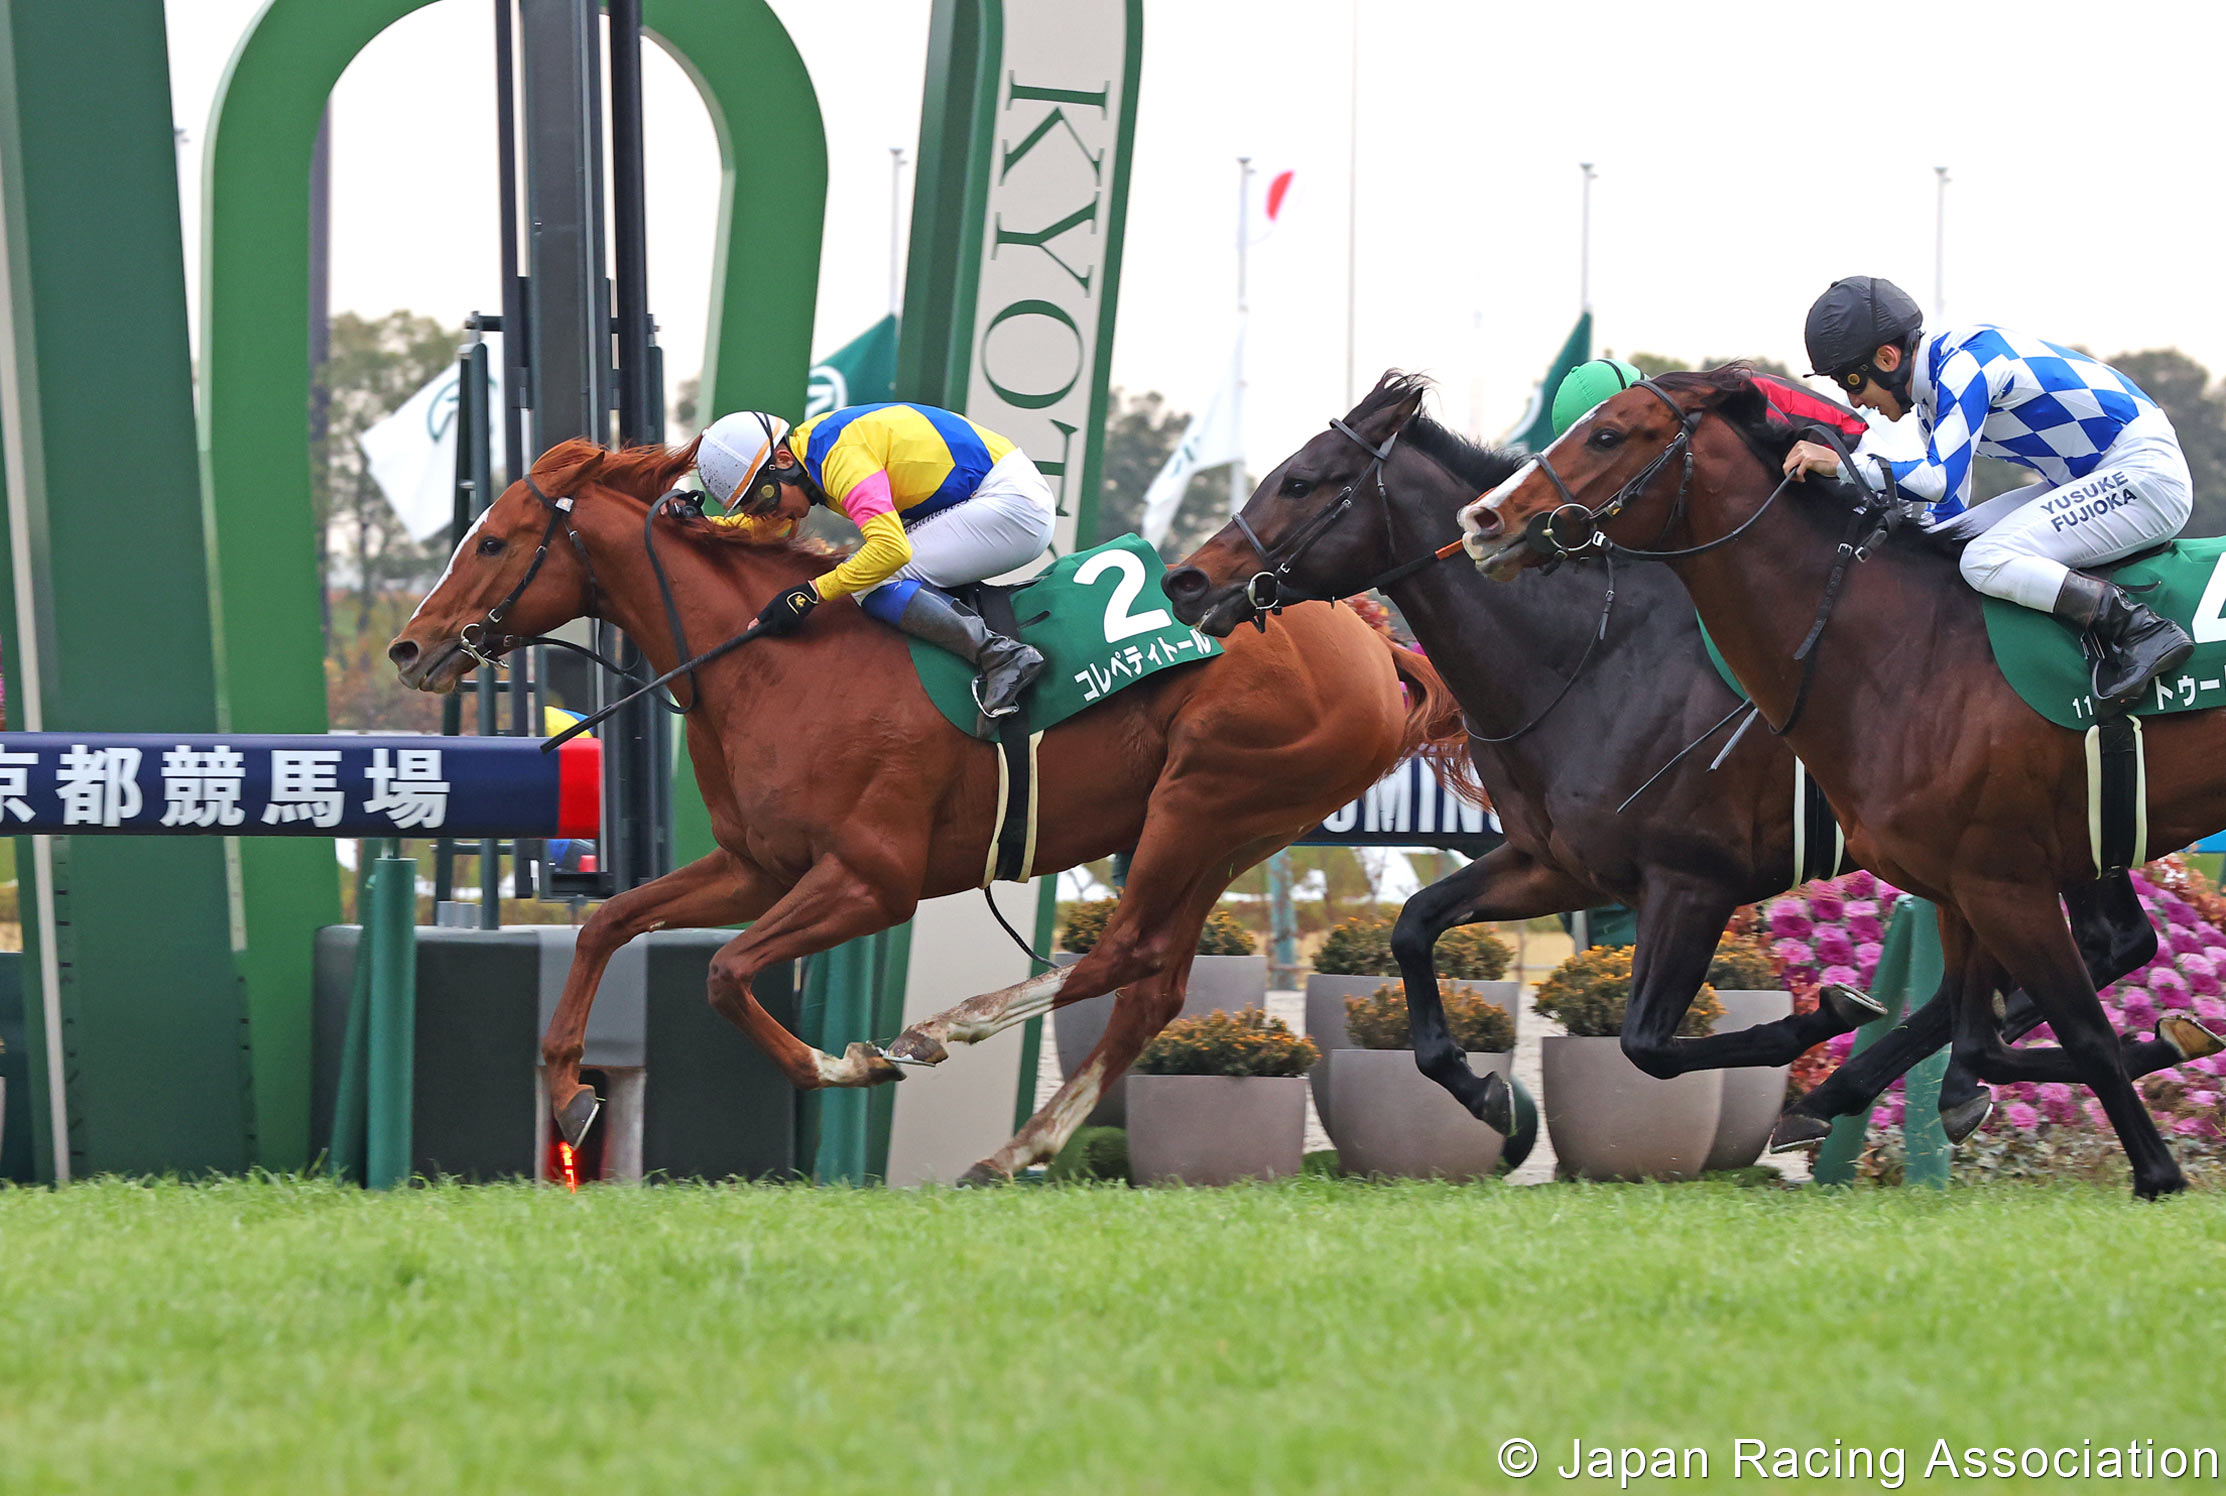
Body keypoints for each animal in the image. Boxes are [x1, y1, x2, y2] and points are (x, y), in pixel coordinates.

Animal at [391, 431, 1469, 1184]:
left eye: (493, 541)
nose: (410, 647)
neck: (772, 660)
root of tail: (1375, 637)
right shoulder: (759, 865)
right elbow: (606, 922)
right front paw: (572, 1096)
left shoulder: (871, 879)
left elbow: (727, 974)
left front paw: (850, 1065)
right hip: (1235, 831)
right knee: (1153, 985)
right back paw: (1011, 1147)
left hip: (1204, 799)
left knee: (1124, 951)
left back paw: (945, 1031)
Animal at [1166, 371, 2190, 1135]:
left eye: (1302, 480)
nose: (1186, 579)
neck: (1593, 656)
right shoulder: (1560, 862)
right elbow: (1416, 924)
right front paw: (1489, 1096)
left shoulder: (1693, 877)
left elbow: (1648, 1044)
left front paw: (1826, 1014)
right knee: (2113, 943)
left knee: (2091, 950)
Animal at [1460, 367, 2226, 1202]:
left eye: (1606, 434)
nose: (1484, 520)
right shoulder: (1963, 884)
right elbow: (1981, 1042)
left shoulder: (1996, 880)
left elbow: (2082, 1033)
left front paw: (2158, 1171)